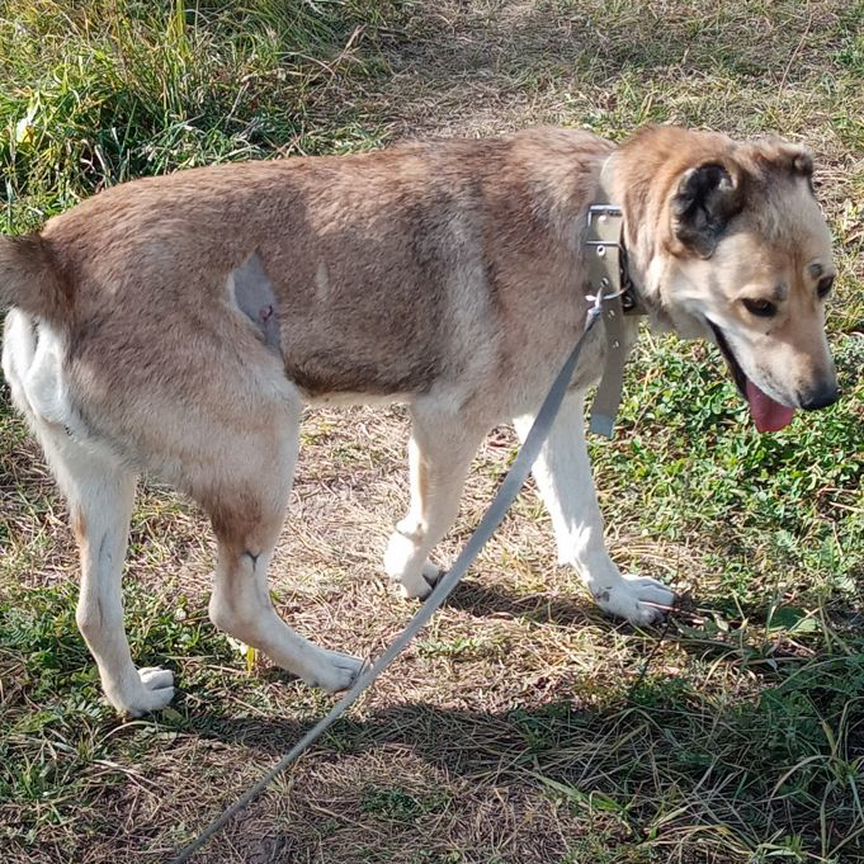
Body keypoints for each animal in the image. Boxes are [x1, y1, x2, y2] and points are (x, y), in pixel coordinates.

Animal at [0, 123, 836, 716]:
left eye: (824, 284)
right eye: (759, 304)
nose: (826, 399)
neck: (601, 227)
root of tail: (55, 261)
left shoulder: (552, 414)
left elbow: (583, 527)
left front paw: (620, 600)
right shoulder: (446, 422)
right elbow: (431, 519)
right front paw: (406, 574)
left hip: (104, 491)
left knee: (94, 613)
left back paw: (135, 699)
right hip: (266, 452)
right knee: (233, 605)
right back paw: (329, 671)